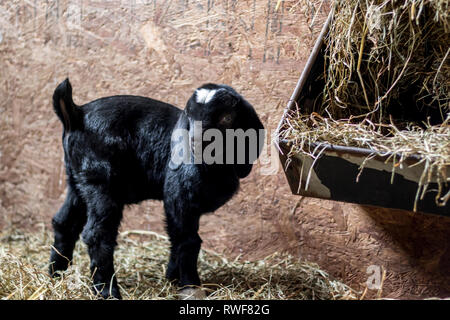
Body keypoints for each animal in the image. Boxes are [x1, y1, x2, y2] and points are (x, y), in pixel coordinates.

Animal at [48, 79, 264, 298]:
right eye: (190, 116)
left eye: (226, 117)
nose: (196, 141)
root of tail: (77, 114)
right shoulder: (178, 196)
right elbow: (188, 241)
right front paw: (190, 287)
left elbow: (177, 238)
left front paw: (173, 278)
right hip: (100, 180)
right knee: (97, 234)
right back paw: (107, 291)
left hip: (77, 181)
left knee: (64, 222)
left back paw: (56, 275)